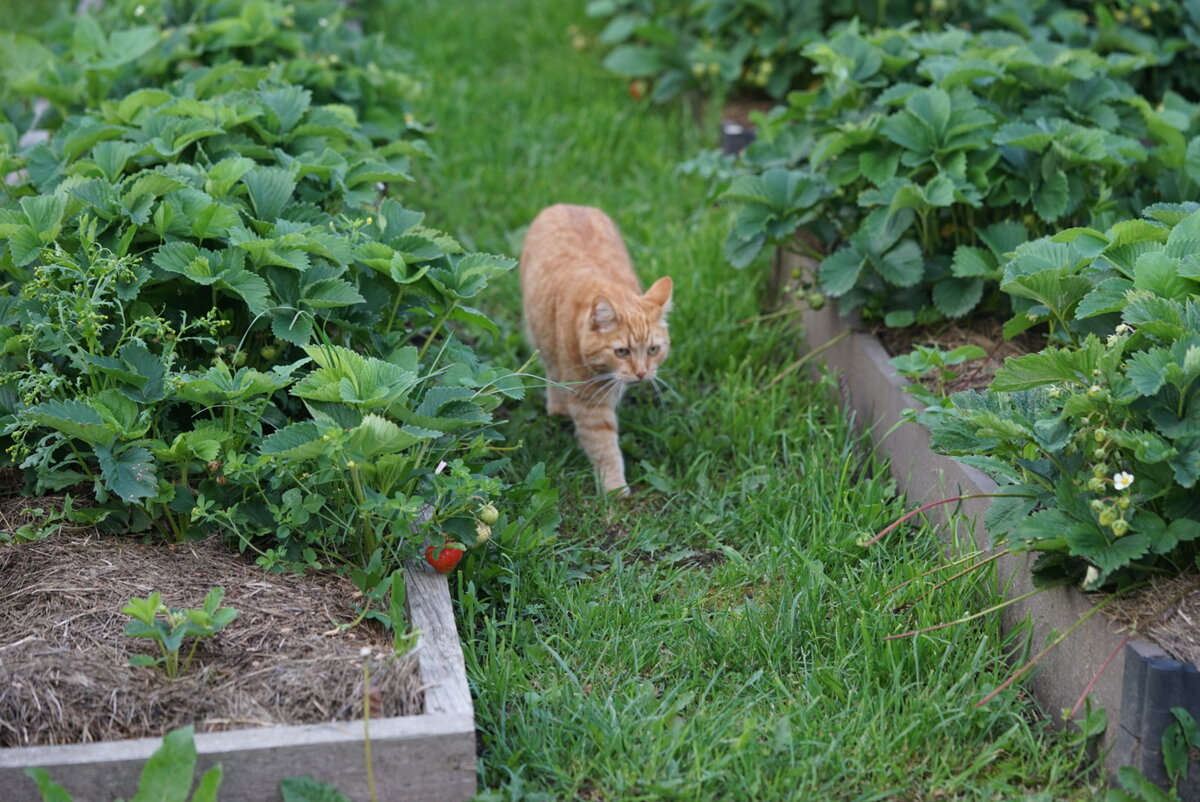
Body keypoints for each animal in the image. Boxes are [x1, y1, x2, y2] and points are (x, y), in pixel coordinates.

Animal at [518, 205, 672, 494]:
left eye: (653, 349)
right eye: (622, 352)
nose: (642, 373)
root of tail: (568, 204)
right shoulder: (589, 402)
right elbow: (604, 446)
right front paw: (614, 489)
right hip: (540, 335)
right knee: (551, 372)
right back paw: (558, 407)